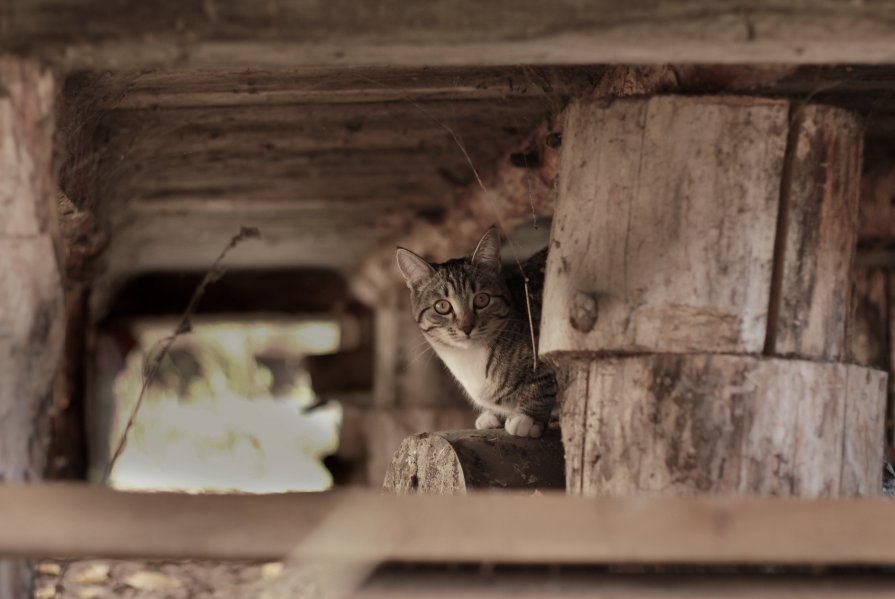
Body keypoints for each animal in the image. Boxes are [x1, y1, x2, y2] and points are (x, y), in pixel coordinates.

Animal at [398, 227, 556, 438]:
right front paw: (494, 416)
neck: (469, 359)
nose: (466, 327)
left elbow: (544, 379)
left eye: (482, 299)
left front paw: (528, 417)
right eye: (442, 306)